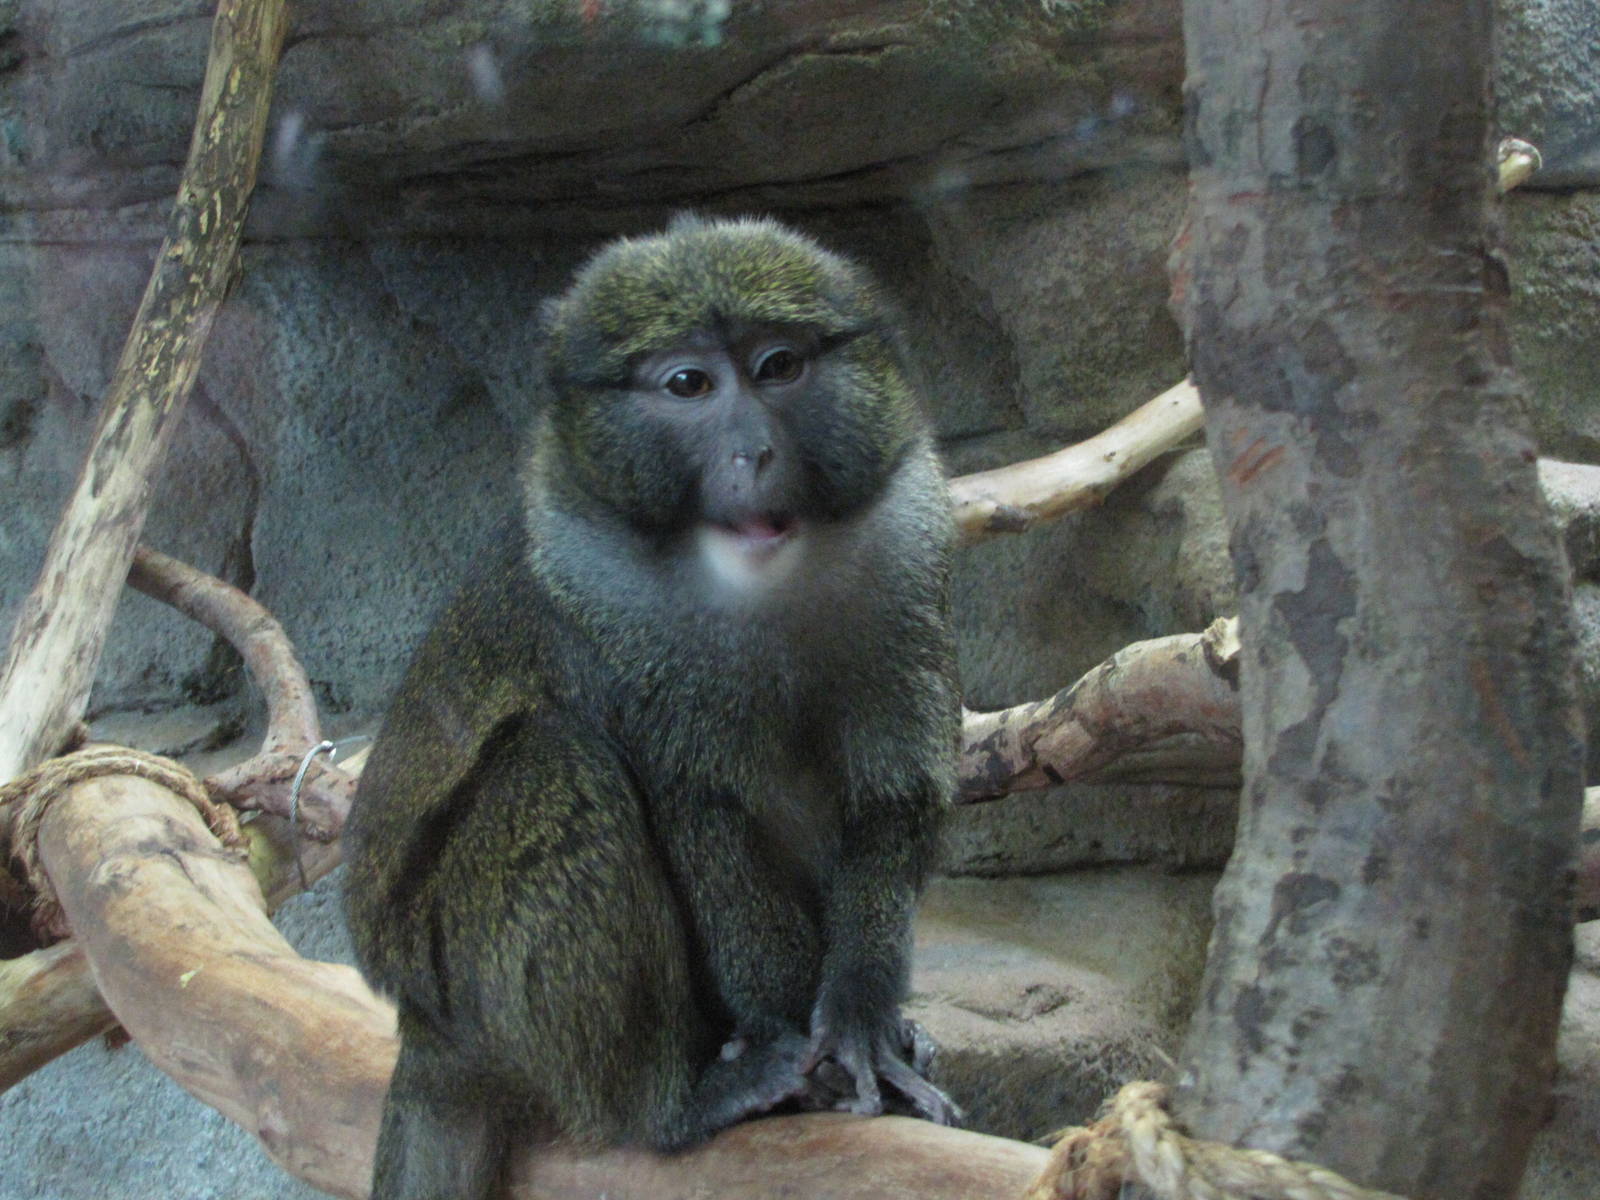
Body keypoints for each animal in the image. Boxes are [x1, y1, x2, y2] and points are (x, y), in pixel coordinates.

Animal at [341, 214, 960, 1200]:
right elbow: (700, 820)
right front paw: (794, 1041)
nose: (754, 452)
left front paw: (864, 1021)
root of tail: (422, 1033)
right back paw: (671, 1103)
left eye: (778, 366)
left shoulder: (907, 555)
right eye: (688, 385)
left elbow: (893, 798)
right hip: (457, 979)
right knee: (552, 762)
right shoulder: (604, 618)